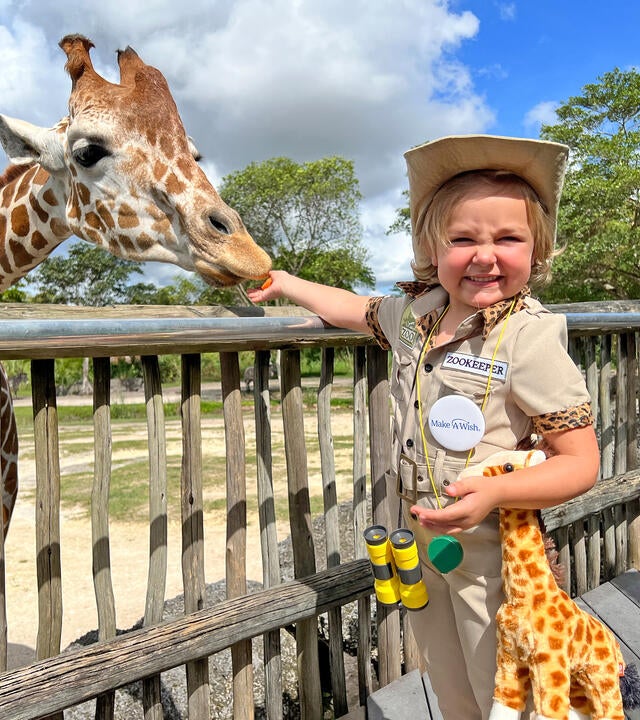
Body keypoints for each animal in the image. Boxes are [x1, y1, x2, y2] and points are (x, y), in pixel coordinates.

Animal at [460, 448, 632, 716]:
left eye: (508, 467)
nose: (462, 477)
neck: (523, 596)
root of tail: (616, 647)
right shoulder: (509, 658)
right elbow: (504, 704)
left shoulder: (550, 663)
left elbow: (549, 711)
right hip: (579, 686)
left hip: (602, 676)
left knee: (611, 712)